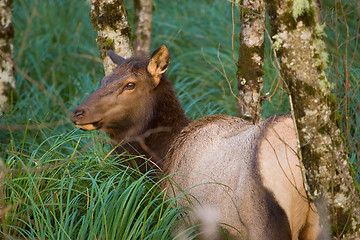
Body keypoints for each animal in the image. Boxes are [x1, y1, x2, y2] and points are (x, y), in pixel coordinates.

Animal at [69, 45, 320, 240]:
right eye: (104, 80)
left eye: (130, 84)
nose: (77, 112)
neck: (161, 163)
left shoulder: (181, 219)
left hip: (265, 222)